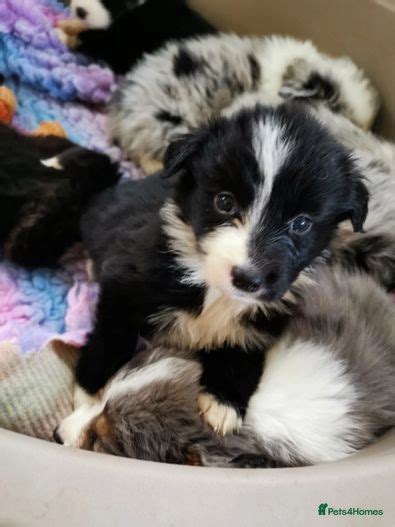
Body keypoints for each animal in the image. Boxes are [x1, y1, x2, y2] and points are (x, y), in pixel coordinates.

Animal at [75, 104, 372, 438]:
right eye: (224, 201)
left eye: (301, 223)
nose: (248, 278)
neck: (213, 289)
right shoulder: (124, 284)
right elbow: (112, 333)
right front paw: (90, 390)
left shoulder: (264, 320)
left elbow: (243, 352)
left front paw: (223, 404)